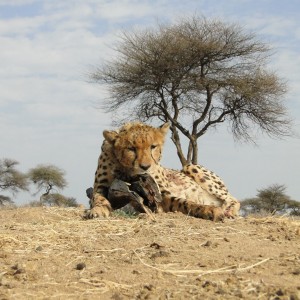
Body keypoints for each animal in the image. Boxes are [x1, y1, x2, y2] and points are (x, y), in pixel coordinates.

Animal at [85, 121, 240, 220]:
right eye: (131, 149)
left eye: (153, 146)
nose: (145, 166)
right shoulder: (101, 186)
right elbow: (98, 198)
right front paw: (97, 210)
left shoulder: (161, 194)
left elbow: (184, 202)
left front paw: (207, 210)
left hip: (190, 167)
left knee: (233, 199)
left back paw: (229, 211)